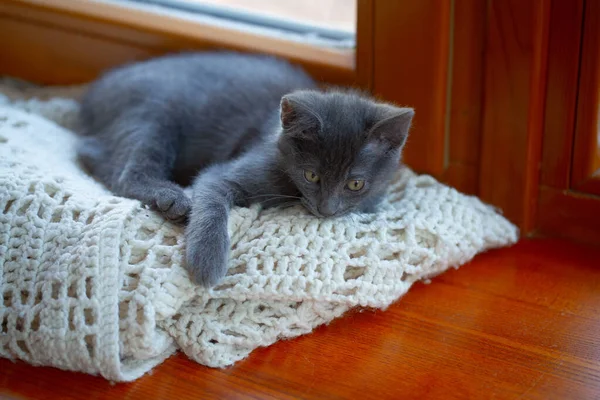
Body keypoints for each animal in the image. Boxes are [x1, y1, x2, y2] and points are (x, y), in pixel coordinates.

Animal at [77, 51, 414, 286]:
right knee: (119, 168)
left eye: (355, 184)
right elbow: (211, 197)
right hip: (154, 111)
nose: (326, 210)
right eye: (312, 175)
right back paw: (172, 199)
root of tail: (95, 89)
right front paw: (207, 261)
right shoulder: (226, 172)